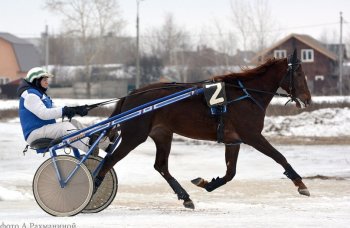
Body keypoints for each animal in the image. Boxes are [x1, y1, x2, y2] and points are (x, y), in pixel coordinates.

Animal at [93, 49, 312, 208]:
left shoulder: (233, 140)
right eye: (299, 73)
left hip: (162, 134)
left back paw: (185, 197)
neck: (246, 95)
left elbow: (230, 173)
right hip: (134, 135)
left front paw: (207, 183)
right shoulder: (252, 136)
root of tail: (131, 95)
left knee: (161, 166)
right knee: (109, 161)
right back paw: (93, 190)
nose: (308, 100)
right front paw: (301, 184)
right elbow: (279, 156)